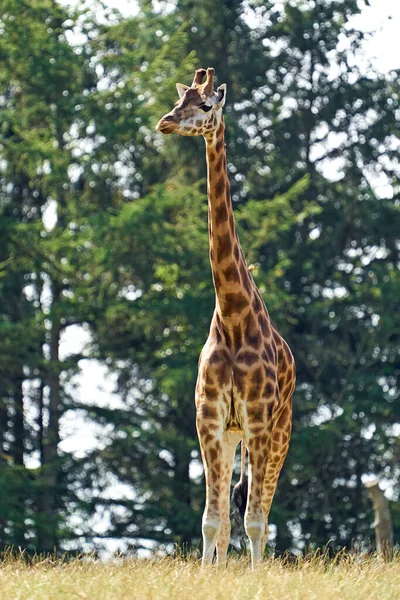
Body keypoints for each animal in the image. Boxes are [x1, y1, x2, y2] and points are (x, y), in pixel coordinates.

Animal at [158, 67, 296, 568]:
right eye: (179, 100)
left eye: (205, 106)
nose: (165, 122)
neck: (233, 315)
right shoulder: (210, 418)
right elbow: (212, 521)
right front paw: (207, 574)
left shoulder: (258, 418)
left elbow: (253, 520)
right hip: (236, 435)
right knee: (229, 513)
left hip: (279, 430)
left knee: (262, 513)